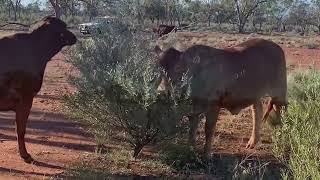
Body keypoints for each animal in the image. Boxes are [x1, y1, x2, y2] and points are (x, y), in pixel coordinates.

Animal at [155, 38, 288, 159]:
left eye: (178, 68)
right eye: (158, 69)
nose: (162, 91)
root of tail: (276, 46)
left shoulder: (214, 105)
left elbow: (209, 130)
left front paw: (207, 155)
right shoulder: (193, 110)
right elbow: (191, 131)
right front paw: (190, 150)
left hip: (279, 91)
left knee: (281, 110)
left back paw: (282, 134)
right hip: (255, 94)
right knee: (257, 111)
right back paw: (252, 141)